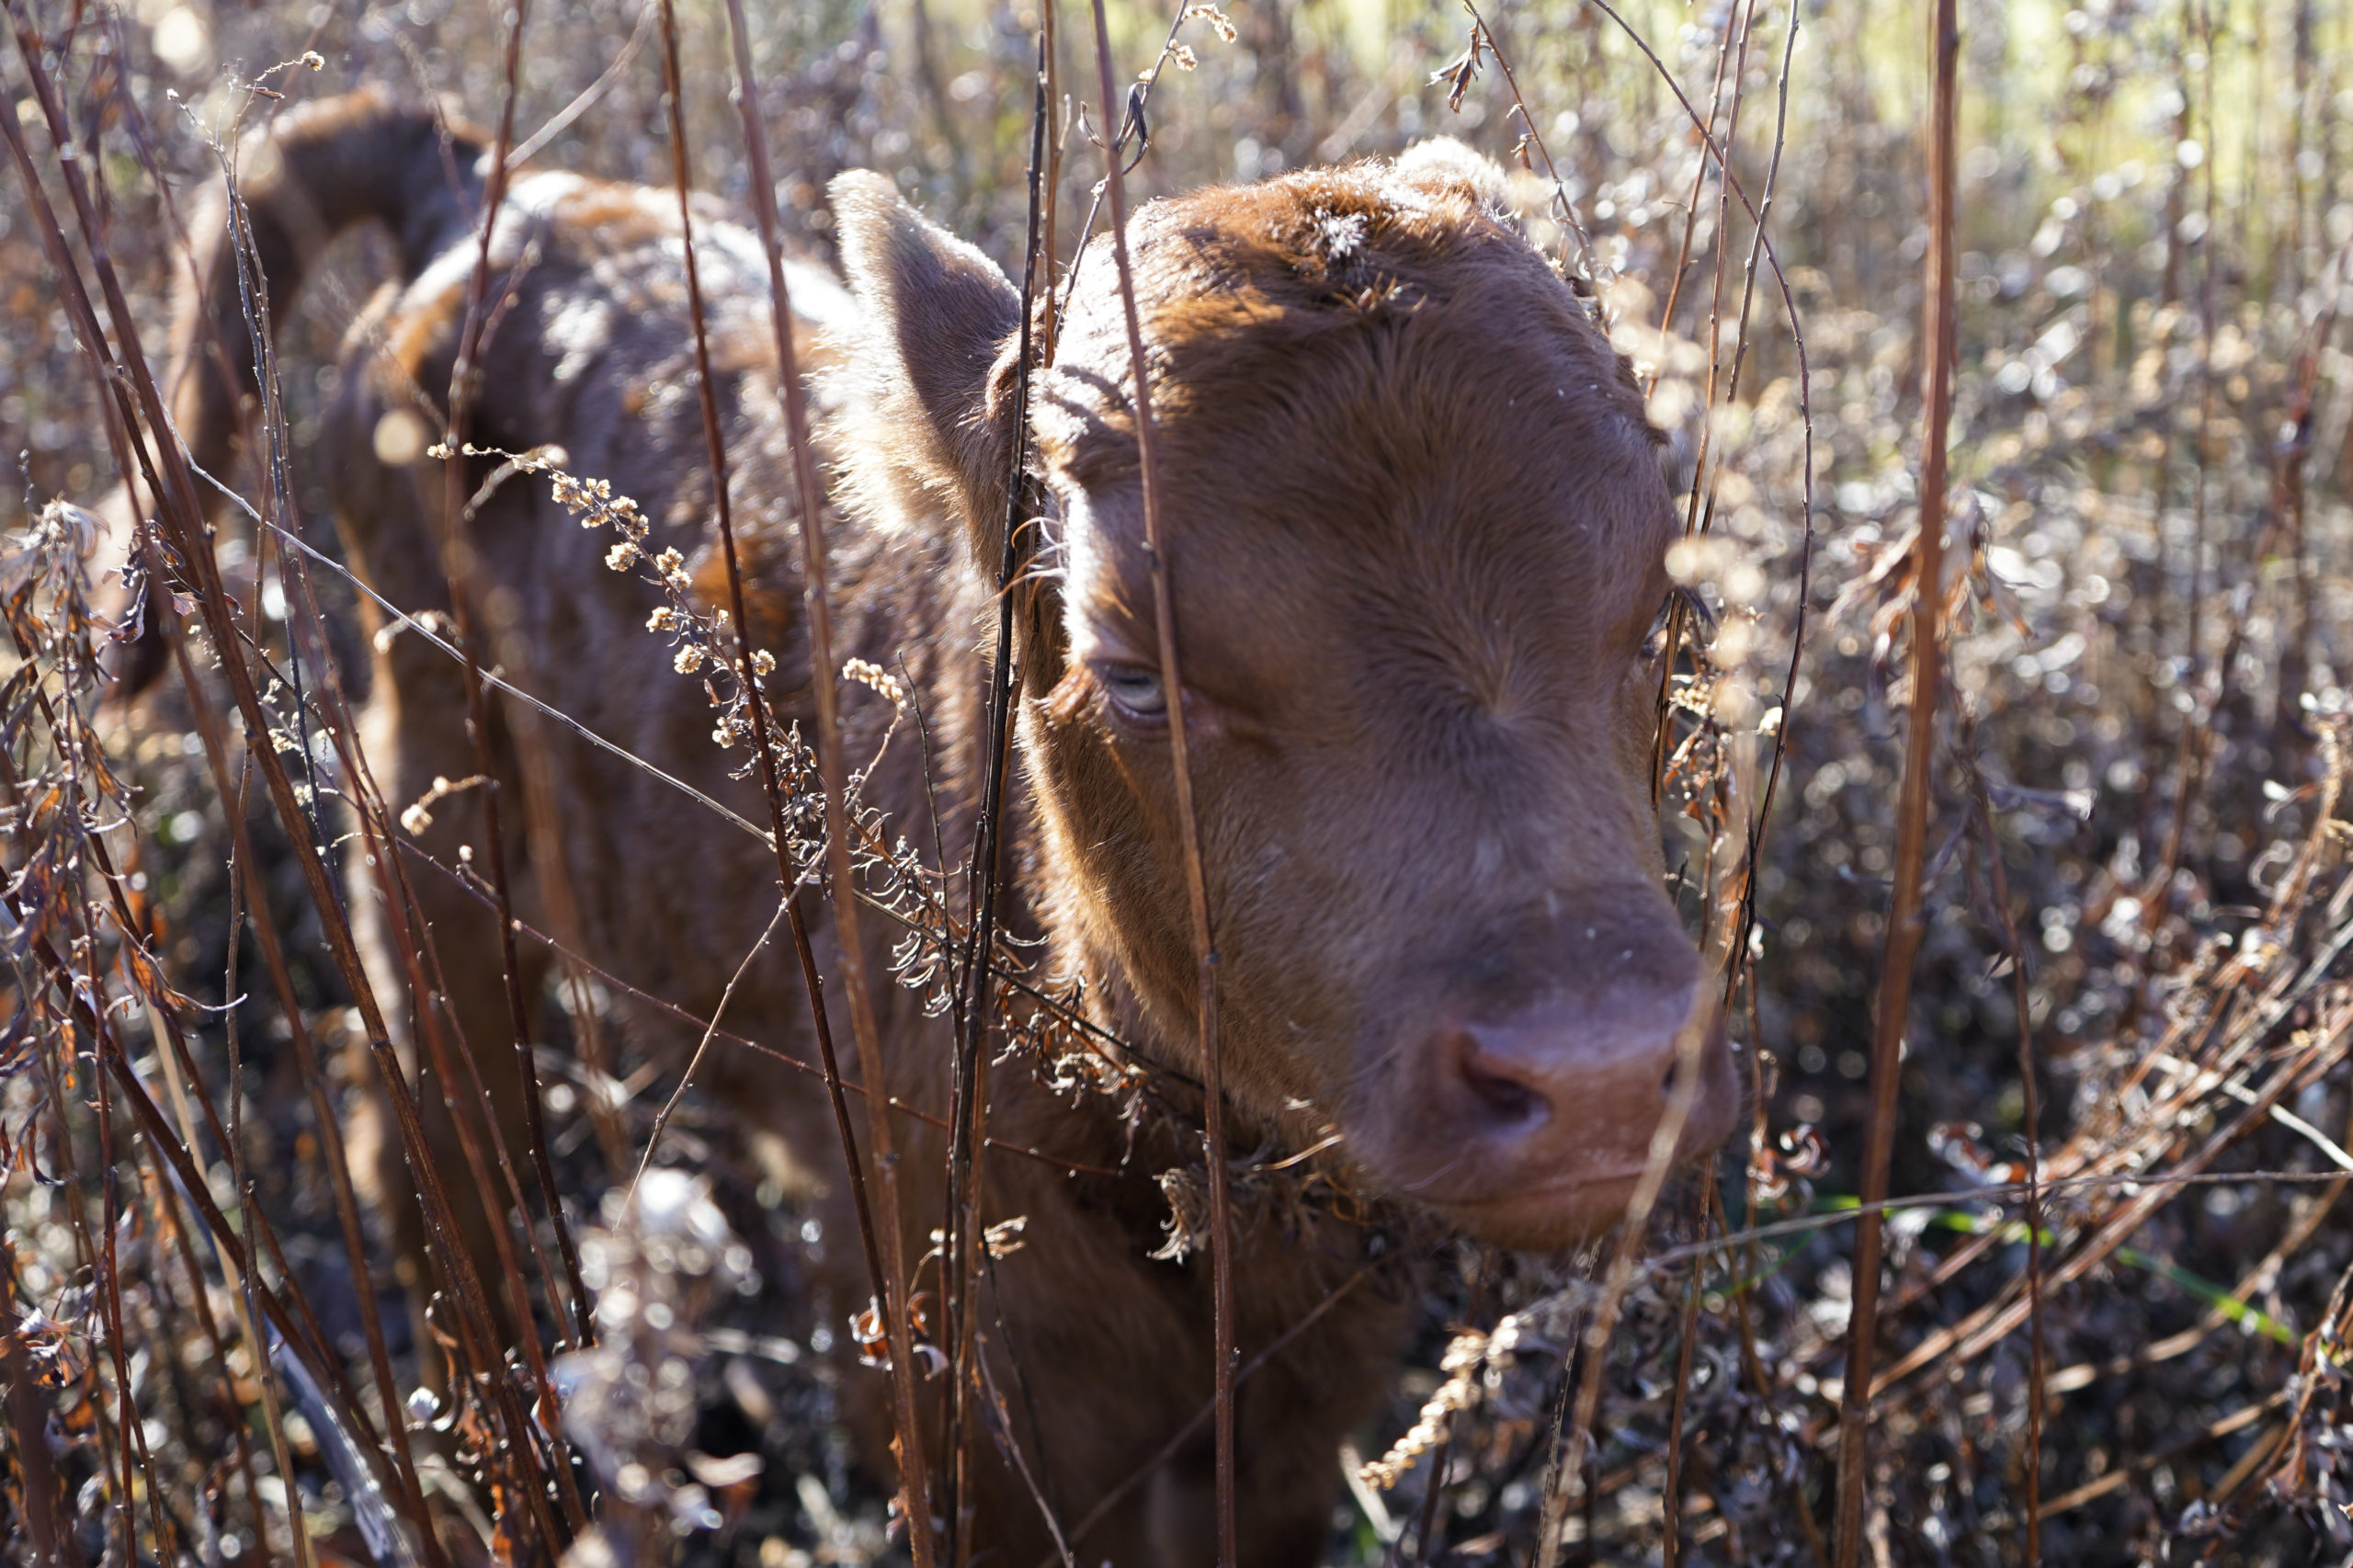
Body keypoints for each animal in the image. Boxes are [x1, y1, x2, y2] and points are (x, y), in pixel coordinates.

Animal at [124, 84, 1740, 1566]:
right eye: (1130, 662)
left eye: (1665, 601)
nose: (1597, 1067)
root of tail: (489, 187)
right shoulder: (971, 1399)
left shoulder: (1299, 1410)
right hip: (431, 791)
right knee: (422, 1097)